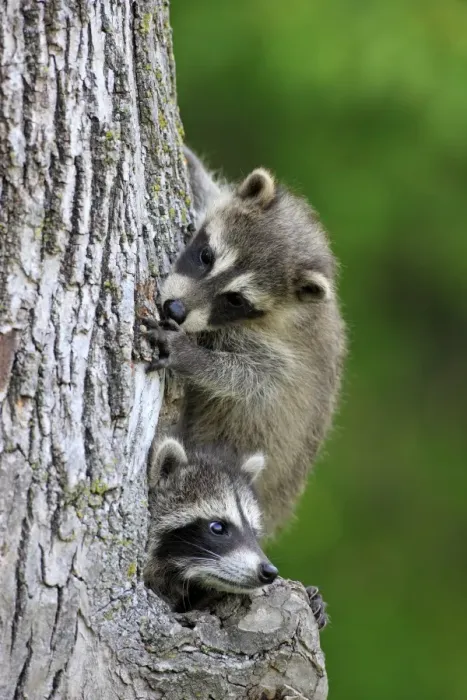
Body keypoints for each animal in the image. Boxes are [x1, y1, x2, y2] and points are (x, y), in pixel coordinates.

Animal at [142, 147, 346, 538]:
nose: (174, 310)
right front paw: (192, 164)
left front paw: (189, 355)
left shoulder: (281, 354)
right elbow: (209, 189)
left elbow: (250, 380)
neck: (289, 311)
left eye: (236, 299)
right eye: (206, 256)